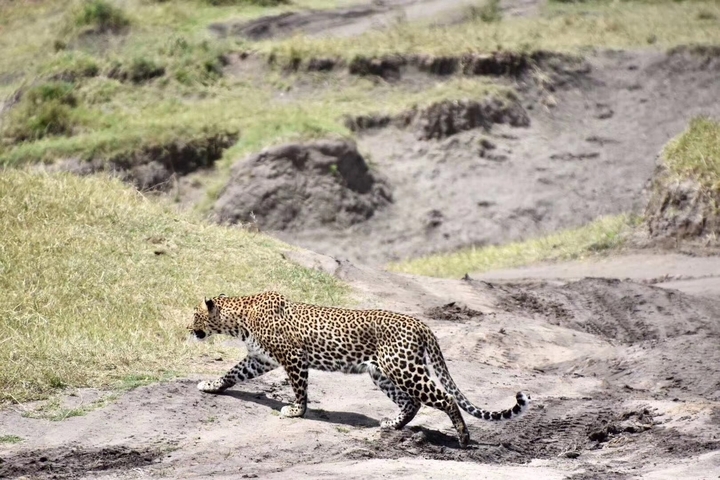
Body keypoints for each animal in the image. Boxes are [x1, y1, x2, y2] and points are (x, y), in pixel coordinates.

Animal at [189, 291, 531, 448]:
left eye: (194, 315)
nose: (189, 329)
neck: (239, 319)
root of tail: (422, 324)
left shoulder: (294, 358)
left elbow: (299, 388)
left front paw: (296, 411)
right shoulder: (260, 359)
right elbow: (232, 372)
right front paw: (211, 385)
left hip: (404, 368)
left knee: (443, 398)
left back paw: (463, 438)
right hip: (382, 372)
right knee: (412, 402)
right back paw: (392, 424)